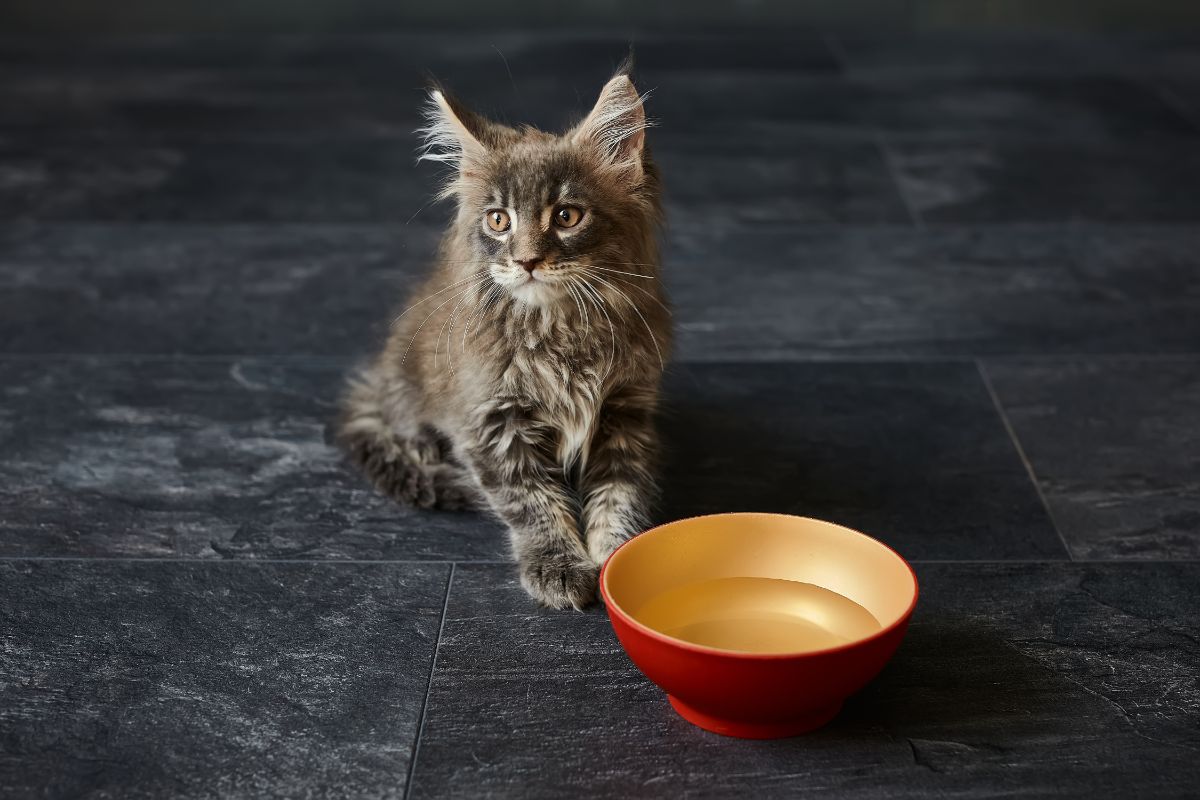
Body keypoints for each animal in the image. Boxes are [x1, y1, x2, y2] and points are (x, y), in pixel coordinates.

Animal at [338, 65, 672, 609]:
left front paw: (618, 557)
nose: (527, 259)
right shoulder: (489, 421)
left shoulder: (626, 411)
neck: (558, 330)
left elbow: (621, 493)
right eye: (499, 220)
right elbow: (531, 501)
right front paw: (559, 567)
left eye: (567, 216)